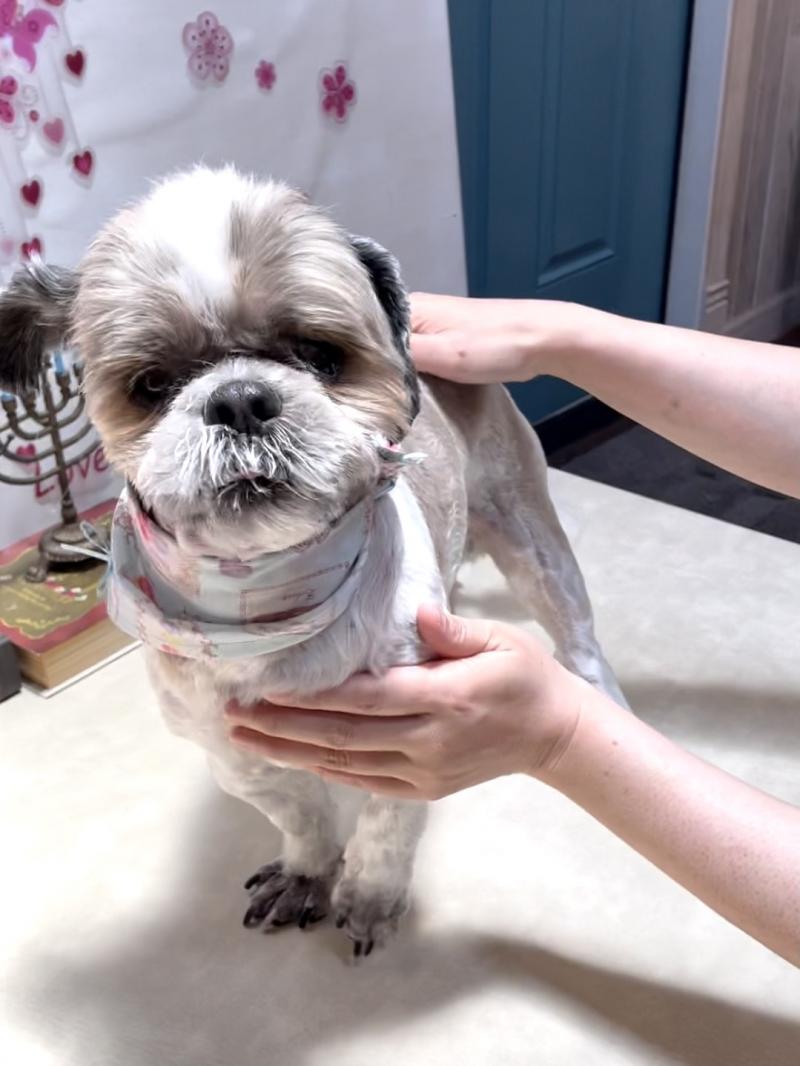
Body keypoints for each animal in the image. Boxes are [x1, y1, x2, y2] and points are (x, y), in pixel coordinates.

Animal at [0, 166, 626, 957]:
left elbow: (386, 827)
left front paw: (369, 897)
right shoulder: (232, 750)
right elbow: (298, 813)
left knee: (577, 636)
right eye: (151, 384)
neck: (262, 601)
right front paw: (307, 874)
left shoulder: (417, 738)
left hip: (530, 535)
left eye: (321, 356)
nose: (240, 399)